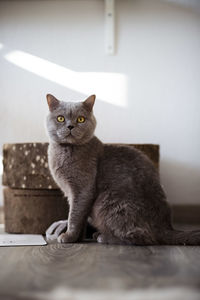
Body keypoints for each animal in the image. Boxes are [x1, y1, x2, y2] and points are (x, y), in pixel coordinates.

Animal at [45, 95, 200, 245]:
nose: (70, 126)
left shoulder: (83, 189)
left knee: (144, 238)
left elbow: (75, 216)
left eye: (81, 119)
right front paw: (78, 238)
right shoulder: (72, 193)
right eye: (60, 118)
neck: (65, 150)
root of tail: (167, 227)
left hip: (107, 202)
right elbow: (80, 216)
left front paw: (68, 236)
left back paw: (103, 237)